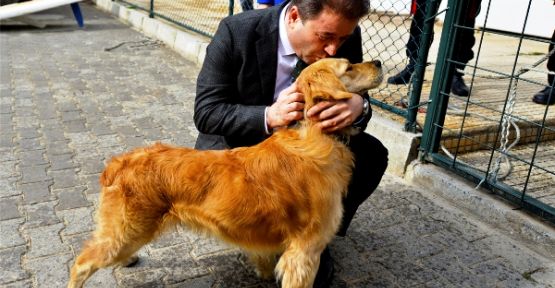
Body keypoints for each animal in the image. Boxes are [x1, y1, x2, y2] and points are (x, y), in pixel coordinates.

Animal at [67, 58, 382, 288]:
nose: (379, 61)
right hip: (127, 231)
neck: (315, 133)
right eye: (349, 66)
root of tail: (120, 162)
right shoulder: (305, 251)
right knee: (81, 263)